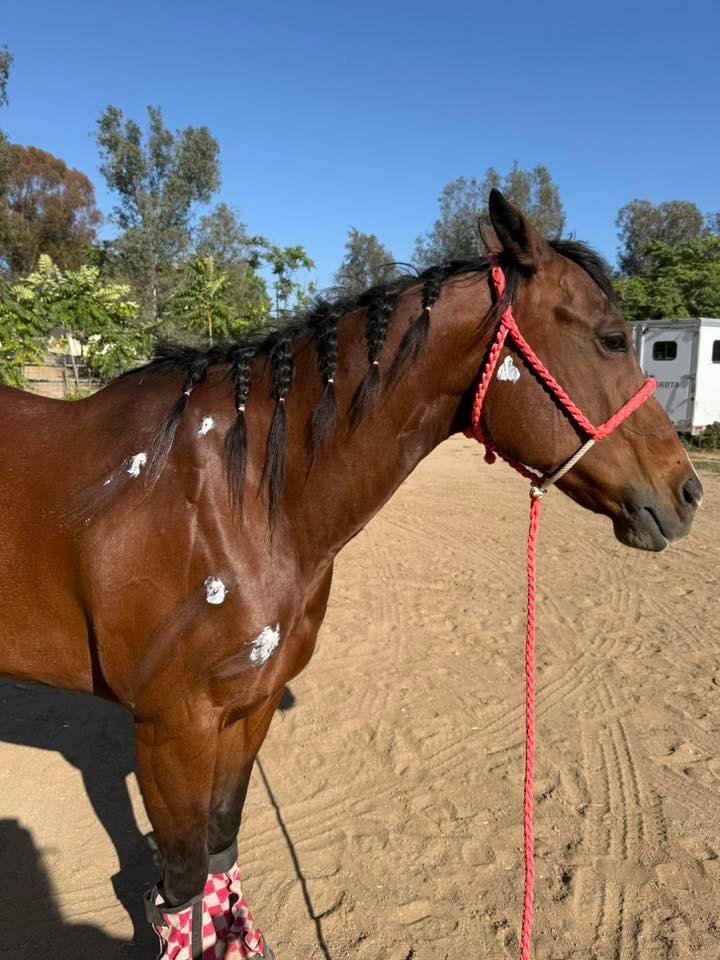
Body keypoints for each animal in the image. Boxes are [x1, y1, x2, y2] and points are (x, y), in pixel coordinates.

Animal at [0, 190, 702, 958]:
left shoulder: (246, 710)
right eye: (611, 339)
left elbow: (220, 845)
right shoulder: (169, 726)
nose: (689, 492)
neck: (232, 497)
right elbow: (181, 882)